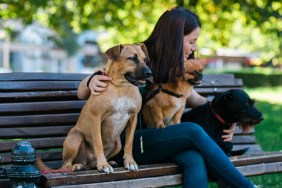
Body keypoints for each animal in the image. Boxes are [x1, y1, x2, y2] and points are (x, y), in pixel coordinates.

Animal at [35, 43, 152, 174]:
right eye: (132, 58)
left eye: (145, 59)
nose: (149, 73)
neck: (121, 87)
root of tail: (87, 162)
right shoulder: (96, 118)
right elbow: (98, 143)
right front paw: (103, 165)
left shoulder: (133, 117)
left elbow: (129, 143)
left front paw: (130, 162)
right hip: (76, 137)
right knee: (65, 165)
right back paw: (77, 166)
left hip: (117, 143)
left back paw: (106, 162)